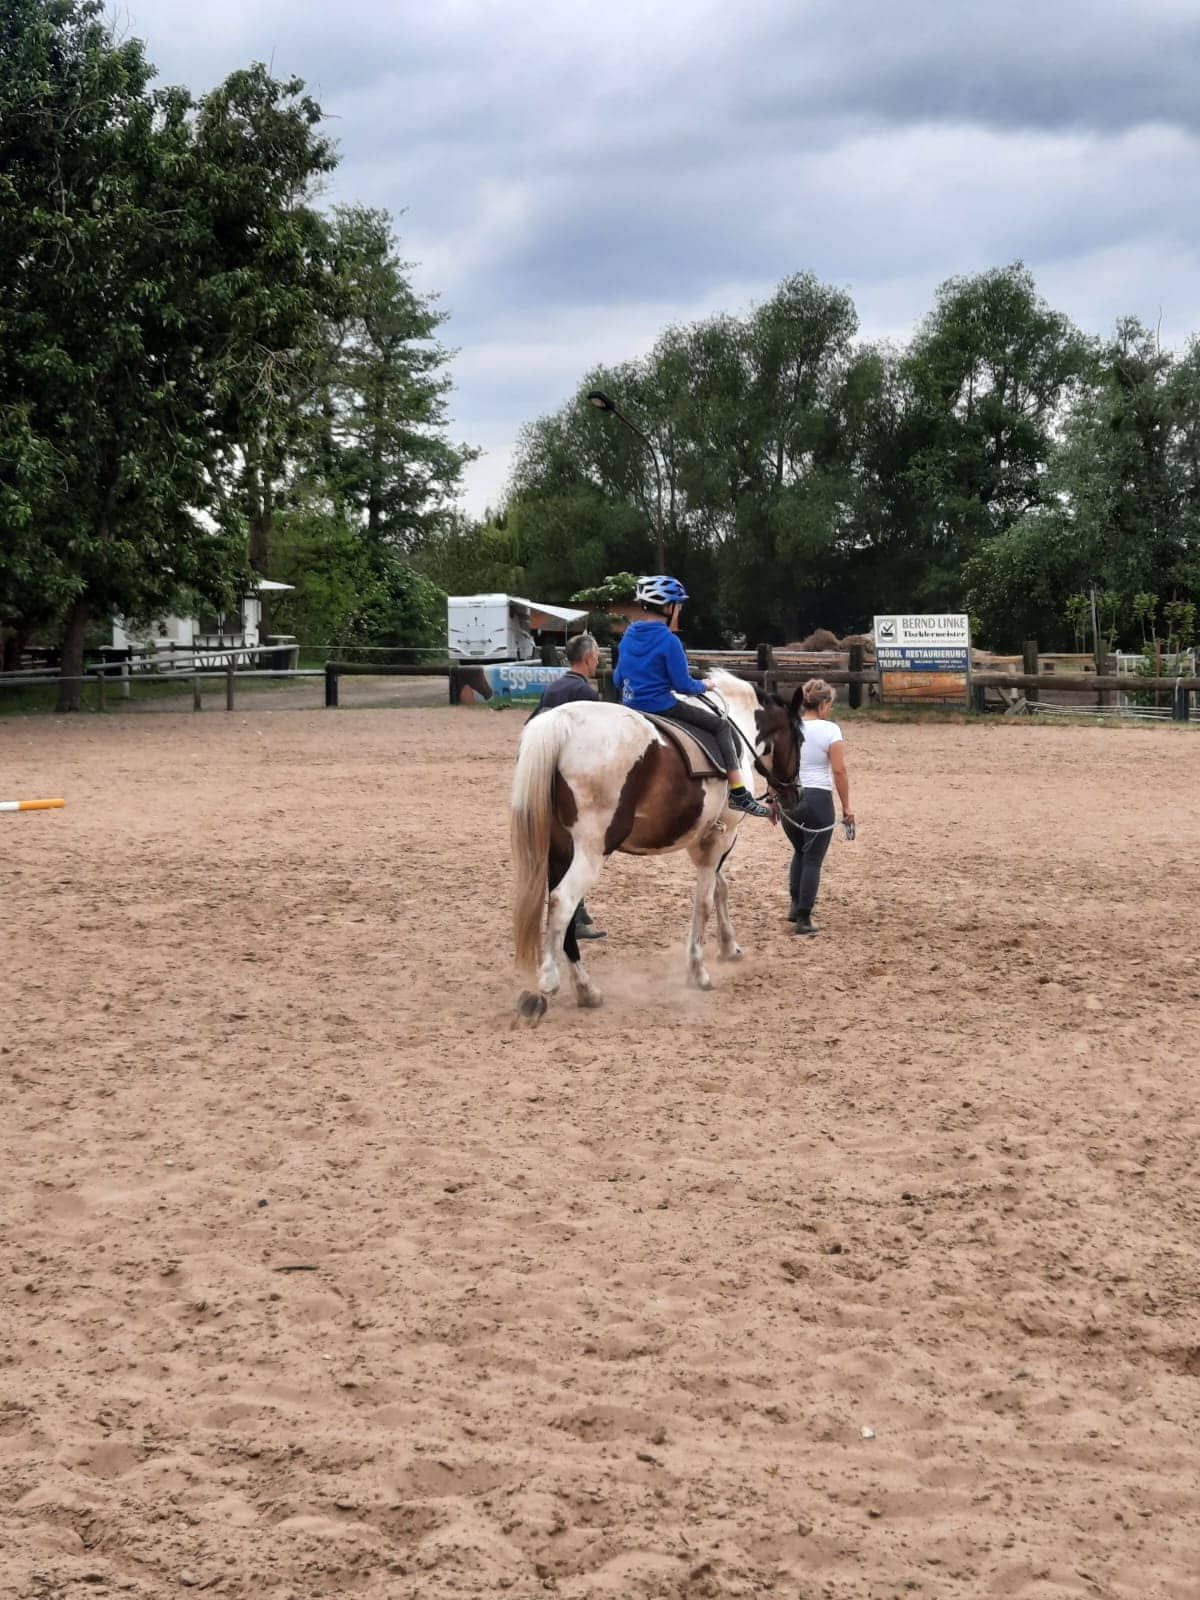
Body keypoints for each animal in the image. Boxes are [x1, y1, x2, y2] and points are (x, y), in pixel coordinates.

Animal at [508, 672, 803, 1024]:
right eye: (800, 740)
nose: (795, 794)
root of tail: (560, 722)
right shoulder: (722, 835)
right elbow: (704, 901)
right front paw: (698, 972)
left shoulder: (704, 839)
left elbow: (719, 888)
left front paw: (728, 947)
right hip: (590, 851)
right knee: (562, 902)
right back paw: (551, 982)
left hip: (559, 851)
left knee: (560, 911)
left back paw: (586, 989)